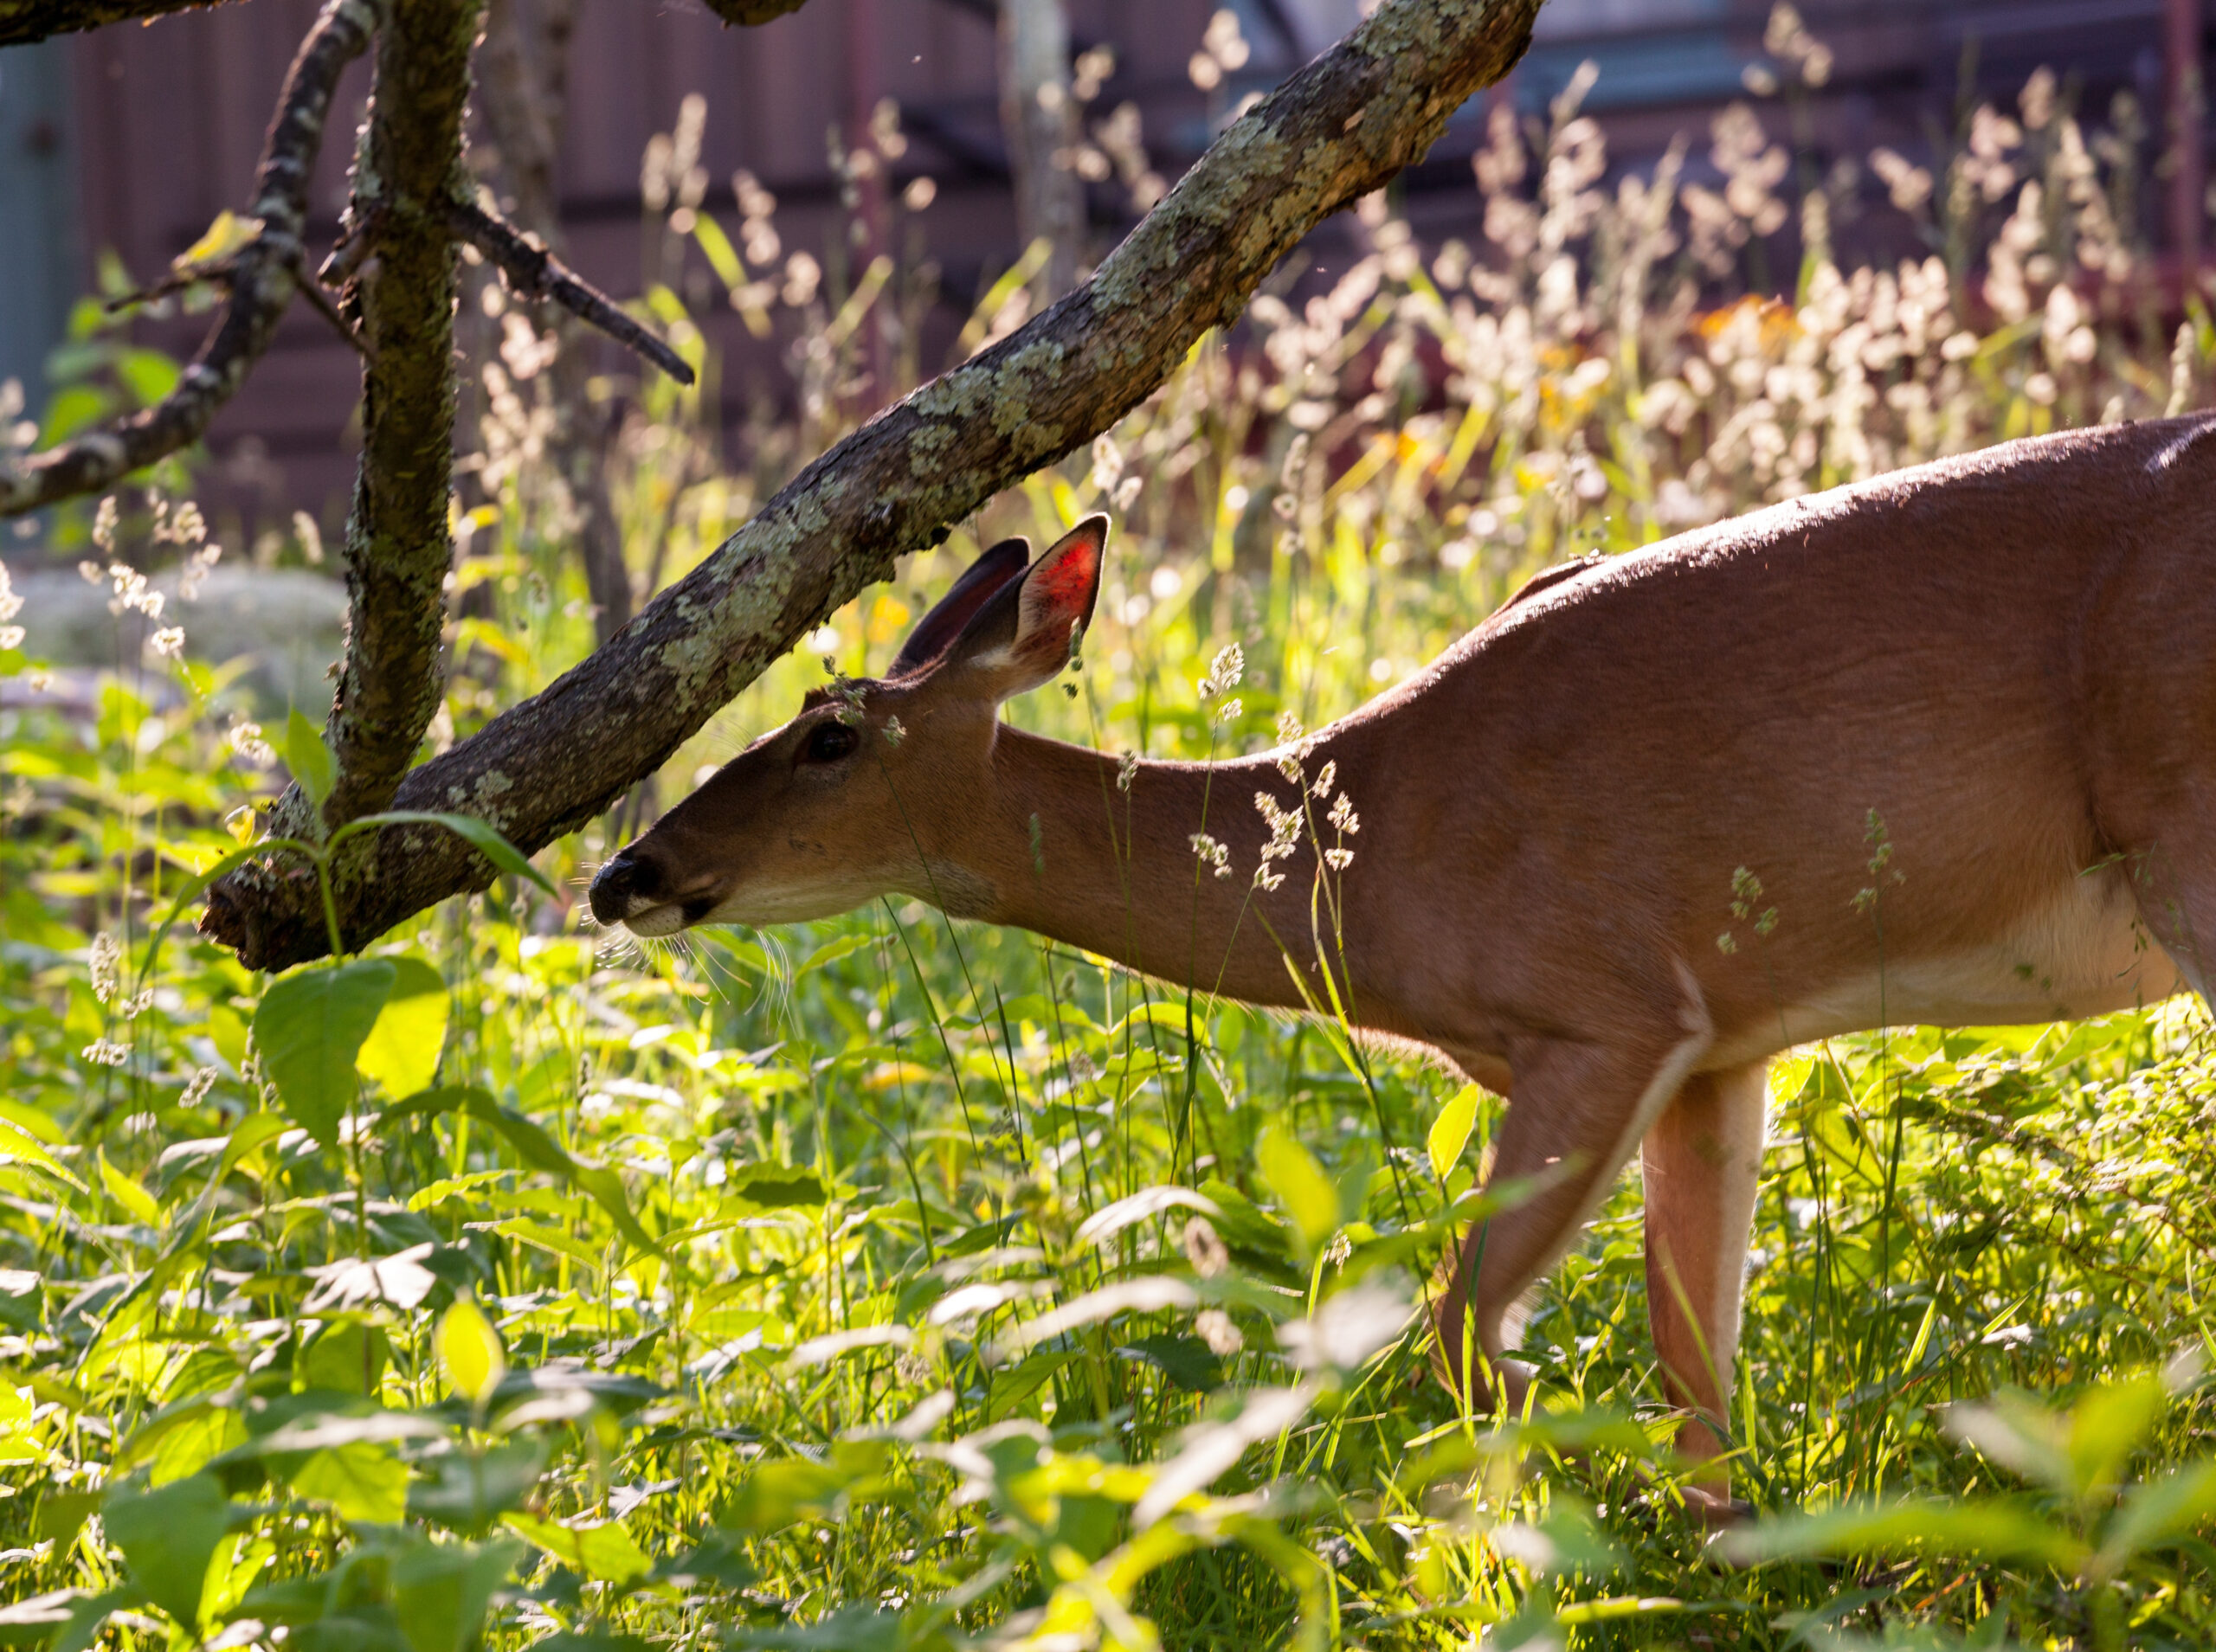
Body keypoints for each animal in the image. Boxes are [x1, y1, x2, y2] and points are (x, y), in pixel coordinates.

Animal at [589, 414, 2212, 1517]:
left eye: (829, 732)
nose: (626, 873)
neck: (1366, 871)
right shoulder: (1724, 1038)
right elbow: (1694, 1362)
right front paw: (1716, 1558)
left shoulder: (1603, 1007)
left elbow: (1467, 1333)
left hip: (2189, 845)